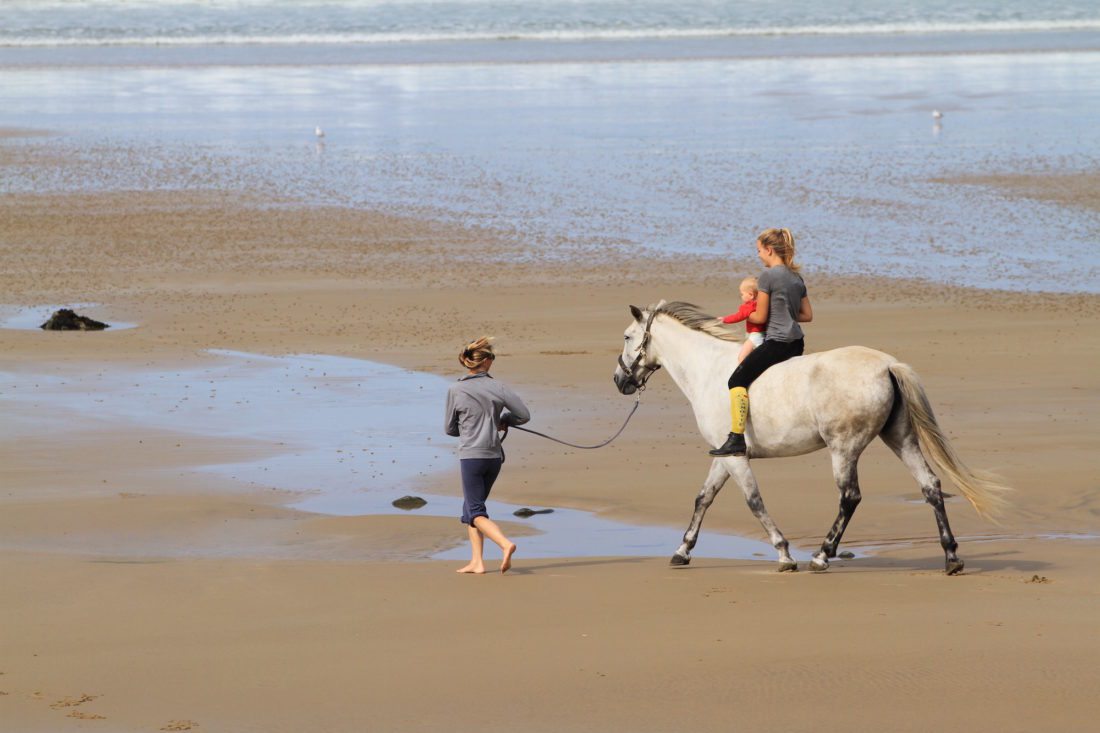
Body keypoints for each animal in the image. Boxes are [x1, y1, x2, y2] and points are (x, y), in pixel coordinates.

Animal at [616, 299, 1007, 572]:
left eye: (627, 337)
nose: (620, 381)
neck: (710, 370)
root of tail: (887, 365)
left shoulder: (735, 456)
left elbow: (754, 501)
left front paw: (784, 553)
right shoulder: (724, 455)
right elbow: (703, 498)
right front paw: (681, 552)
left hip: (844, 449)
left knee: (850, 497)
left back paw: (821, 555)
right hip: (900, 438)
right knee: (930, 486)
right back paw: (951, 557)